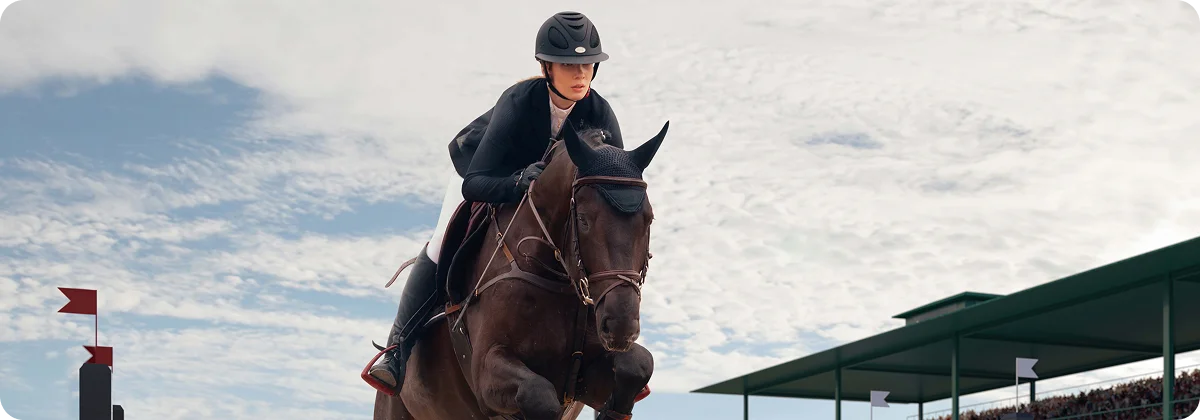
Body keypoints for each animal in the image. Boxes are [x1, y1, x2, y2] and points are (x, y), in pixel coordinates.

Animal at [369, 120, 669, 420]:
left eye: (649, 219)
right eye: (583, 219)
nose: (621, 327)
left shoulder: (585, 378)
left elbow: (638, 364)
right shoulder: (487, 371)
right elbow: (537, 394)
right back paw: (388, 366)